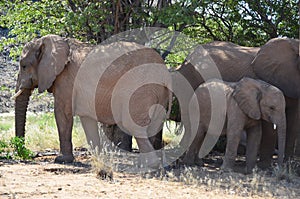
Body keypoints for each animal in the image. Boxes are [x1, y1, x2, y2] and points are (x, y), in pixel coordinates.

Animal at [13, 34, 171, 166]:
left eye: (24, 66)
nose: (24, 153)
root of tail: (163, 68)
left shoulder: (66, 80)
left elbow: (62, 114)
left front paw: (62, 160)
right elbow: (86, 119)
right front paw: (99, 158)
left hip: (140, 88)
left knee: (133, 125)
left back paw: (149, 165)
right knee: (155, 125)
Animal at [175, 37, 298, 168]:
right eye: (271, 108)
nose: (280, 167)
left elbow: (259, 134)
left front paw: (251, 170)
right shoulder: (237, 106)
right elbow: (237, 132)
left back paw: (198, 163)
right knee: (195, 130)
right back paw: (186, 162)